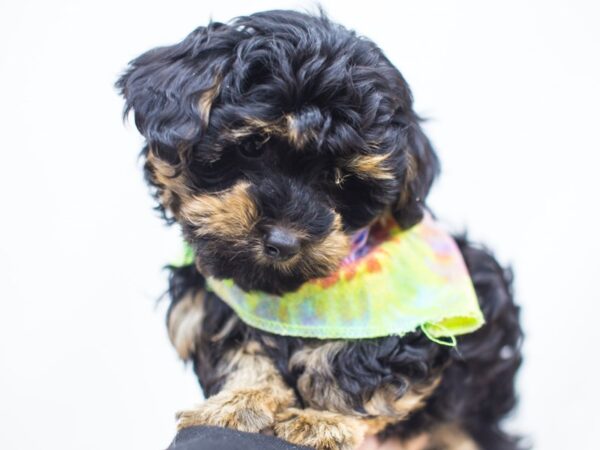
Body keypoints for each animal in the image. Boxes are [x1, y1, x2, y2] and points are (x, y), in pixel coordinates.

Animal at [116, 10, 520, 450]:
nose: (283, 242)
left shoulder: (431, 315)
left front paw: (323, 421)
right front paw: (239, 402)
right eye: (253, 146)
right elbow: (243, 346)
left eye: (341, 179)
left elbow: (353, 363)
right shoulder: (208, 303)